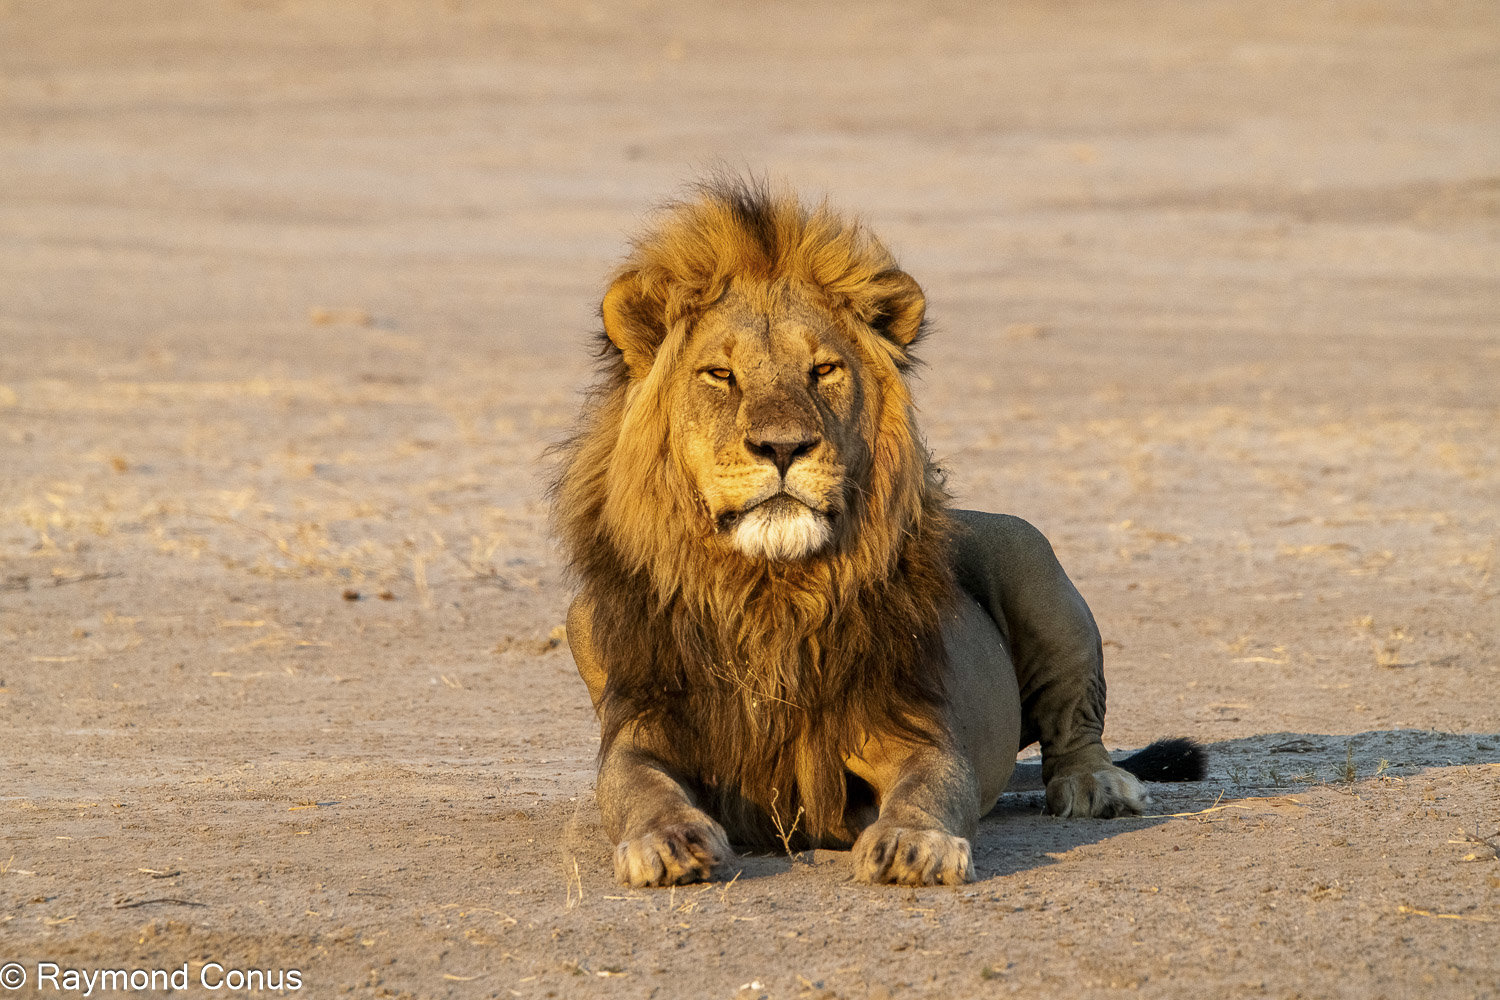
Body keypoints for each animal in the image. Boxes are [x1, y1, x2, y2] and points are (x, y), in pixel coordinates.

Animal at [553, 176, 1204, 887]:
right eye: (720, 375)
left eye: (824, 370)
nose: (784, 447)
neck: (768, 591)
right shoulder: (644, 727)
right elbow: (638, 786)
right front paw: (666, 841)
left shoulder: (910, 726)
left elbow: (930, 783)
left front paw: (915, 844)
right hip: (579, 617)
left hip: (1030, 553)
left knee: (1076, 725)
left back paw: (1096, 787)